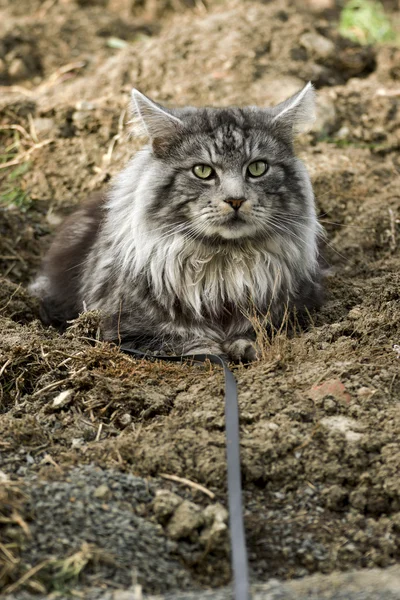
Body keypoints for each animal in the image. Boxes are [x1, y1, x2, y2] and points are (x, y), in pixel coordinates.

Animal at [29, 84, 324, 360]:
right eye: (203, 171)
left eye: (257, 168)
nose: (235, 199)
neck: (223, 268)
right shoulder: (125, 331)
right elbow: (186, 345)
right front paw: (215, 349)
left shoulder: (295, 311)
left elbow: (259, 332)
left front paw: (244, 346)